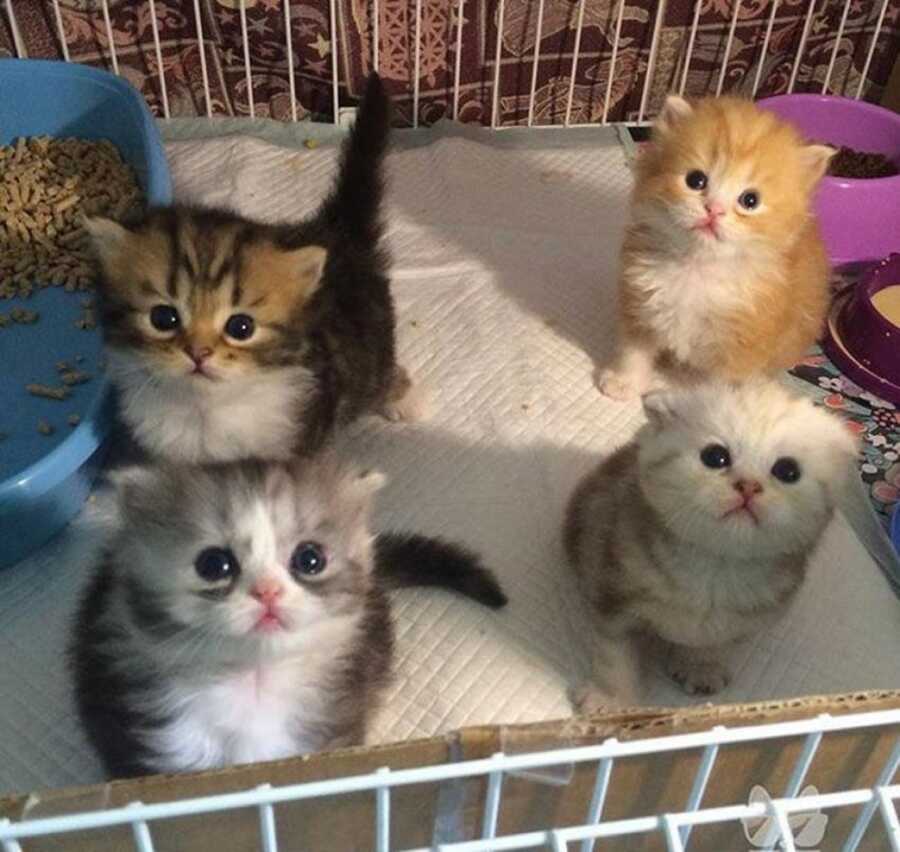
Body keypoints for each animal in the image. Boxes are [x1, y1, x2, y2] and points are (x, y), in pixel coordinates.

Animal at [88, 71, 412, 460]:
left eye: (241, 327)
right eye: (163, 318)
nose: (199, 353)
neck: (205, 413)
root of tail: (336, 229)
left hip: (374, 353)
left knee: (385, 374)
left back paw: (402, 399)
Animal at [564, 380, 856, 712]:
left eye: (788, 471)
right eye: (715, 456)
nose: (748, 486)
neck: (715, 569)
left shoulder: (743, 619)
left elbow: (712, 644)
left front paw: (700, 667)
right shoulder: (613, 585)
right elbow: (614, 654)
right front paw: (609, 700)